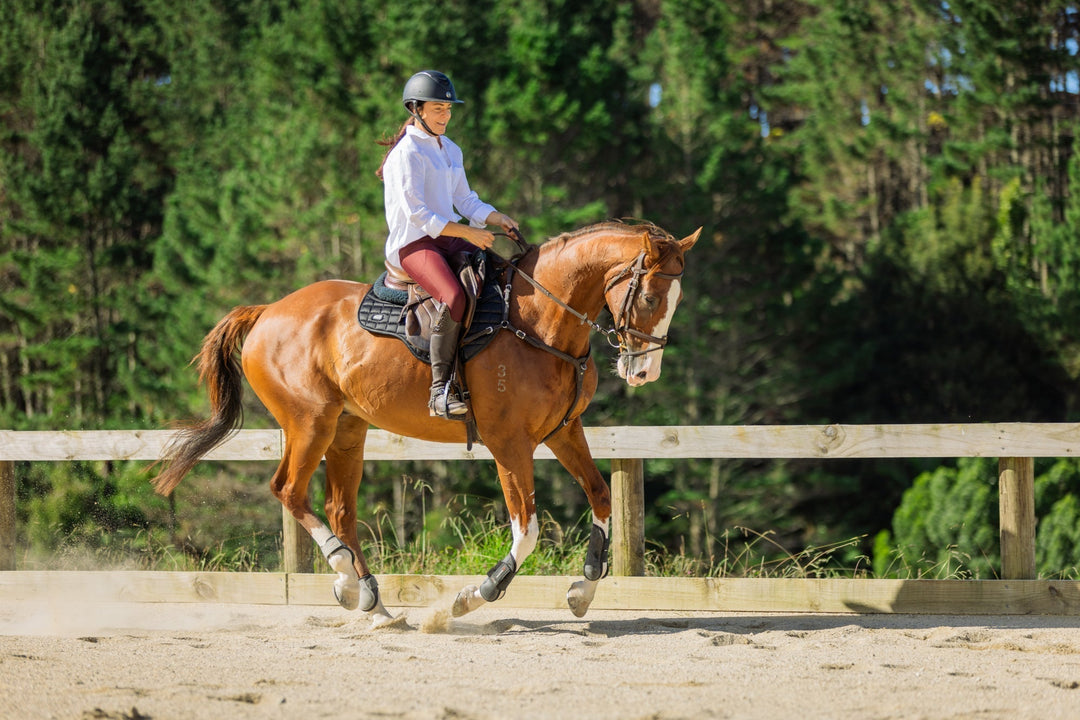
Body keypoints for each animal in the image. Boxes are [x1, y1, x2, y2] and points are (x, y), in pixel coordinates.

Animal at [153, 220, 700, 626]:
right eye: (650, 299)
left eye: (675, 302)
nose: (644, 372)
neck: (539, 321)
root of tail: (268, 311)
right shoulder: (509, 443)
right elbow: (527, 529)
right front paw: (472, 596)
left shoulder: (563, 431)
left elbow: (601, 496)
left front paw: (583, 588)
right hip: (310, 423)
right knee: (289, 489)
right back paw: (347, 579)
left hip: (348, 430)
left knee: (338, 509)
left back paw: (373, 604)